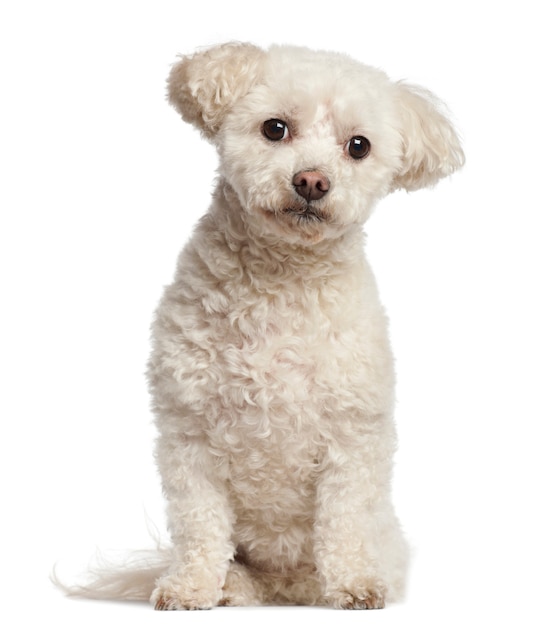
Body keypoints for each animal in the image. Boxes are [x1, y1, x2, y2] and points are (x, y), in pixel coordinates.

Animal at [62, 42, 464, 608]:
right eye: (275, 128)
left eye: (358, 146)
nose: (312, 181)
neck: (282, 283)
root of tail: (282, 587)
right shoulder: (189, 437)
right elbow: (200, 524)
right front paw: (190, 587)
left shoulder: (354, 440)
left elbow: (343, 520)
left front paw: (354, 584)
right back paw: (232, 587)